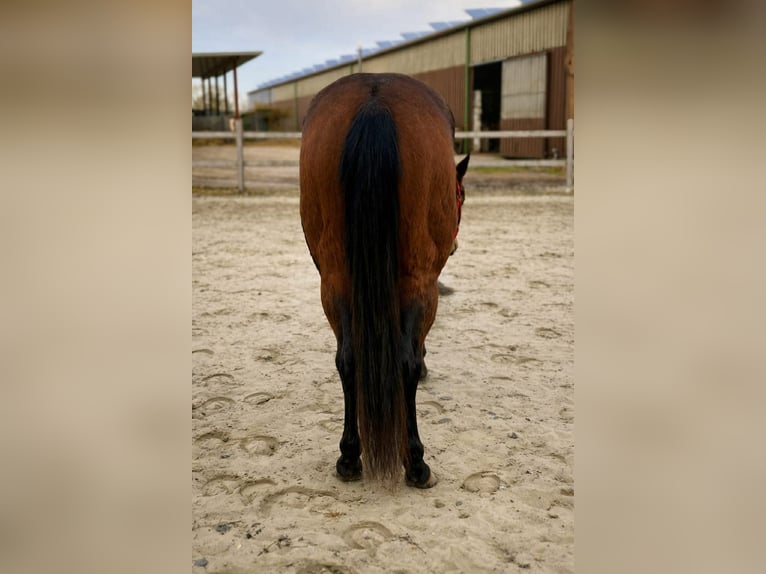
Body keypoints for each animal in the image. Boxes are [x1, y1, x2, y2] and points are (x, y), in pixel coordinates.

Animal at [299, 73, 469, 488]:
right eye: (460, 195)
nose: (455, 246)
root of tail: (374, 99)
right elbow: (413, 354)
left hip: (336, 281)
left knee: (348, 358)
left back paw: (349, 457)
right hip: (419, 281)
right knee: (405, 360)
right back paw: (417, 463)